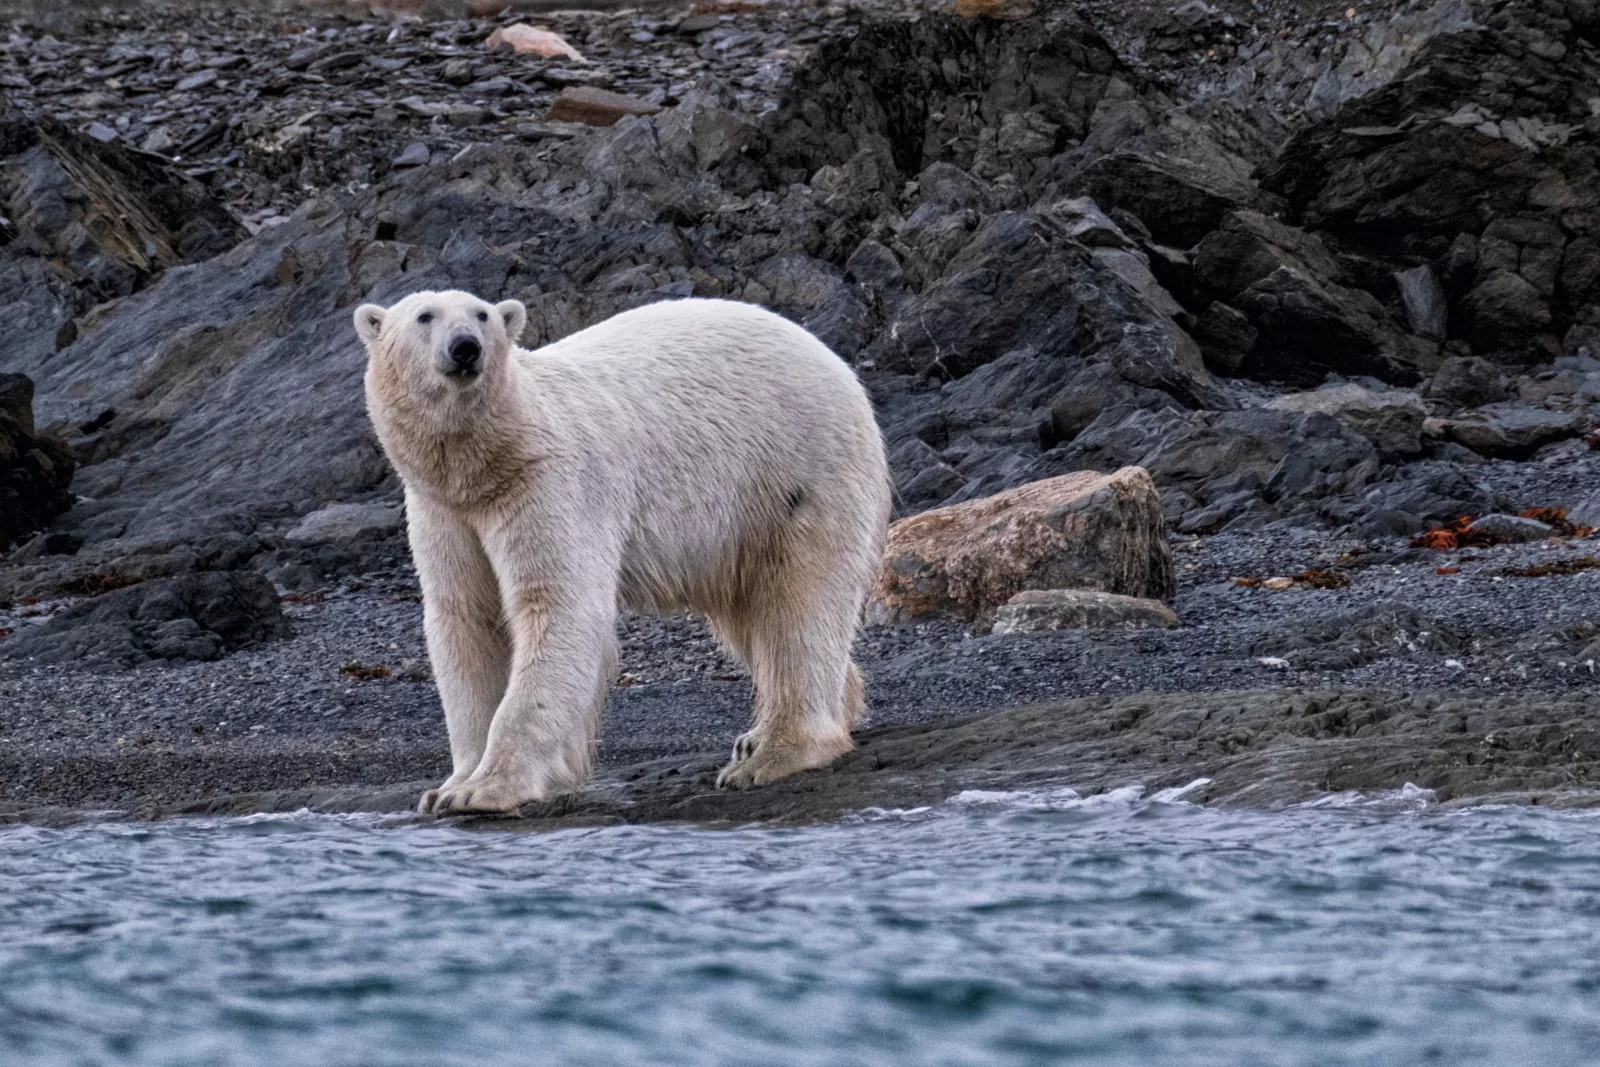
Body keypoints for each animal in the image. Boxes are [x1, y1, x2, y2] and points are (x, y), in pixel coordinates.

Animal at [354, 291, 892, 815]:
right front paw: (448, 786)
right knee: (755, 610)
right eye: (425, 316)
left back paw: (776, 753)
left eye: (482, 315)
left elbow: (557, 603)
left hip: (797, 469)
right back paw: (770, 734)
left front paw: (485, 790)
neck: (489, 459)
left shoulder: (548, 482)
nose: (465, 347)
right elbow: (468, 619)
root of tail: (833, 361)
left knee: (799, 602)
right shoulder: (444, 509)